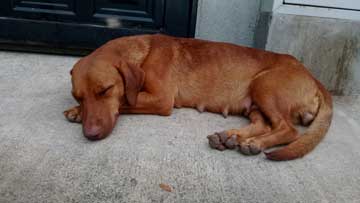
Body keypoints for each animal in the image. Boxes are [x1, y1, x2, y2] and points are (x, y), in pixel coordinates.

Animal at [64, 34, 332, 160]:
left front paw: (77, 113)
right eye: (78, 96)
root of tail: (311, 75)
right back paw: (231, 137)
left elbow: (124, 102)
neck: (143, 52)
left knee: (289, 130)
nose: (90, 135)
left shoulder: (161, 99)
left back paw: (253, 143)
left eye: (105, 90)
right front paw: (76, 111)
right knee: (265, 125)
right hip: (254, 104)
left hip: (264, 86)